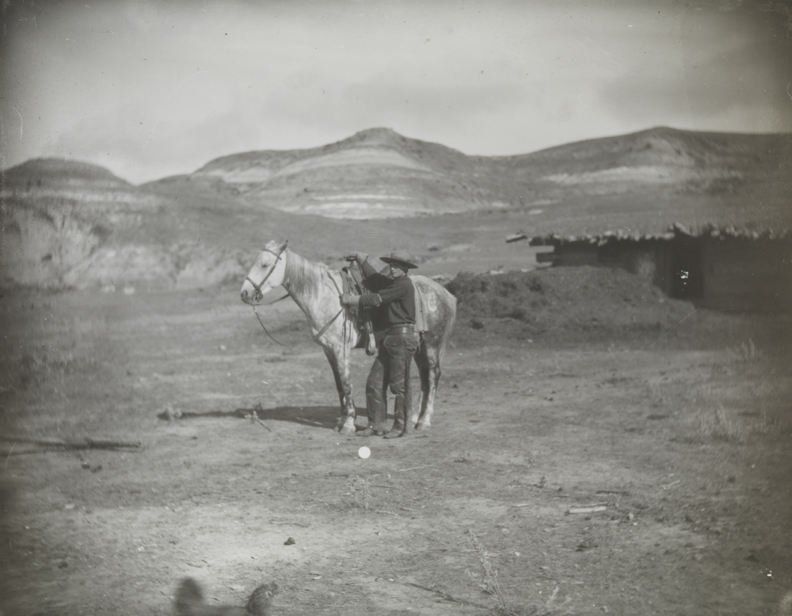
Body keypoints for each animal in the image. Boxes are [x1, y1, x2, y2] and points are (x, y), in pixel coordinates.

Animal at [240, 240, 457, 436]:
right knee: (424, 379)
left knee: (432, 376)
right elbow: (339, 386)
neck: (324, 296)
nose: (245, 293)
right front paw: (341, 421)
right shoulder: (328, 350)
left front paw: (349, 424)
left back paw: (424, 421)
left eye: (265, 265)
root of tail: (445, 293)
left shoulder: (340, 349)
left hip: (431, 345)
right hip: (420, 347)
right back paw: (413, 419)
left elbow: (346, 384)